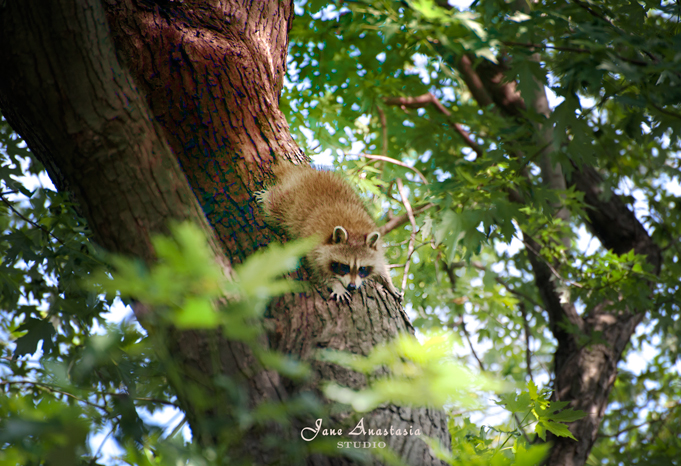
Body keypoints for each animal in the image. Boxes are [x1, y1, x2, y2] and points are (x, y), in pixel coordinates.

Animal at [258, 162, 402, 304]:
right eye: (344, 266)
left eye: (362, 268)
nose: (352, 286)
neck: (354, 229)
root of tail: (302, 172)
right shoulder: (313, 245)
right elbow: (318, 270)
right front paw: (335, 284)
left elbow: (381, 264)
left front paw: (388, 282)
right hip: (287, 201)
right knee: (274, 207)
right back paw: (268, 196)